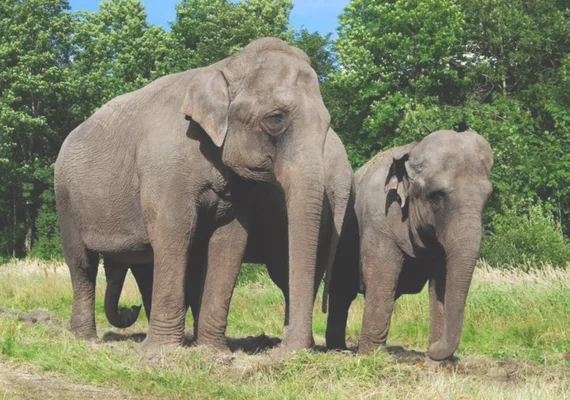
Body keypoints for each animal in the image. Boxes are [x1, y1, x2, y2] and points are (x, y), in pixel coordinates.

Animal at [326, 130, 490, 360]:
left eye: (488, 197)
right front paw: (372, 356)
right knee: (341, 292)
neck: (412, 149)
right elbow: (381, 275)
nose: (431, 350)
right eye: (437, 196)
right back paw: (338, 349)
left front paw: (440, 362)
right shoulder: (378, 219)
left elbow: (442, 281)